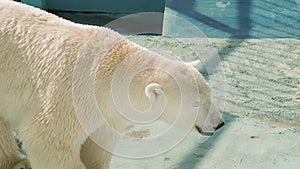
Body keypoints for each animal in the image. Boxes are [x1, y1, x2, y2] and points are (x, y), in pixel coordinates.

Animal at [0, 0, 224, 169]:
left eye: (211, 94)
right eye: (196, 104)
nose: (219, 124)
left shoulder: (106, 111)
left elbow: (99, 144)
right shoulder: (70, 95)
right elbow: (49, 140)